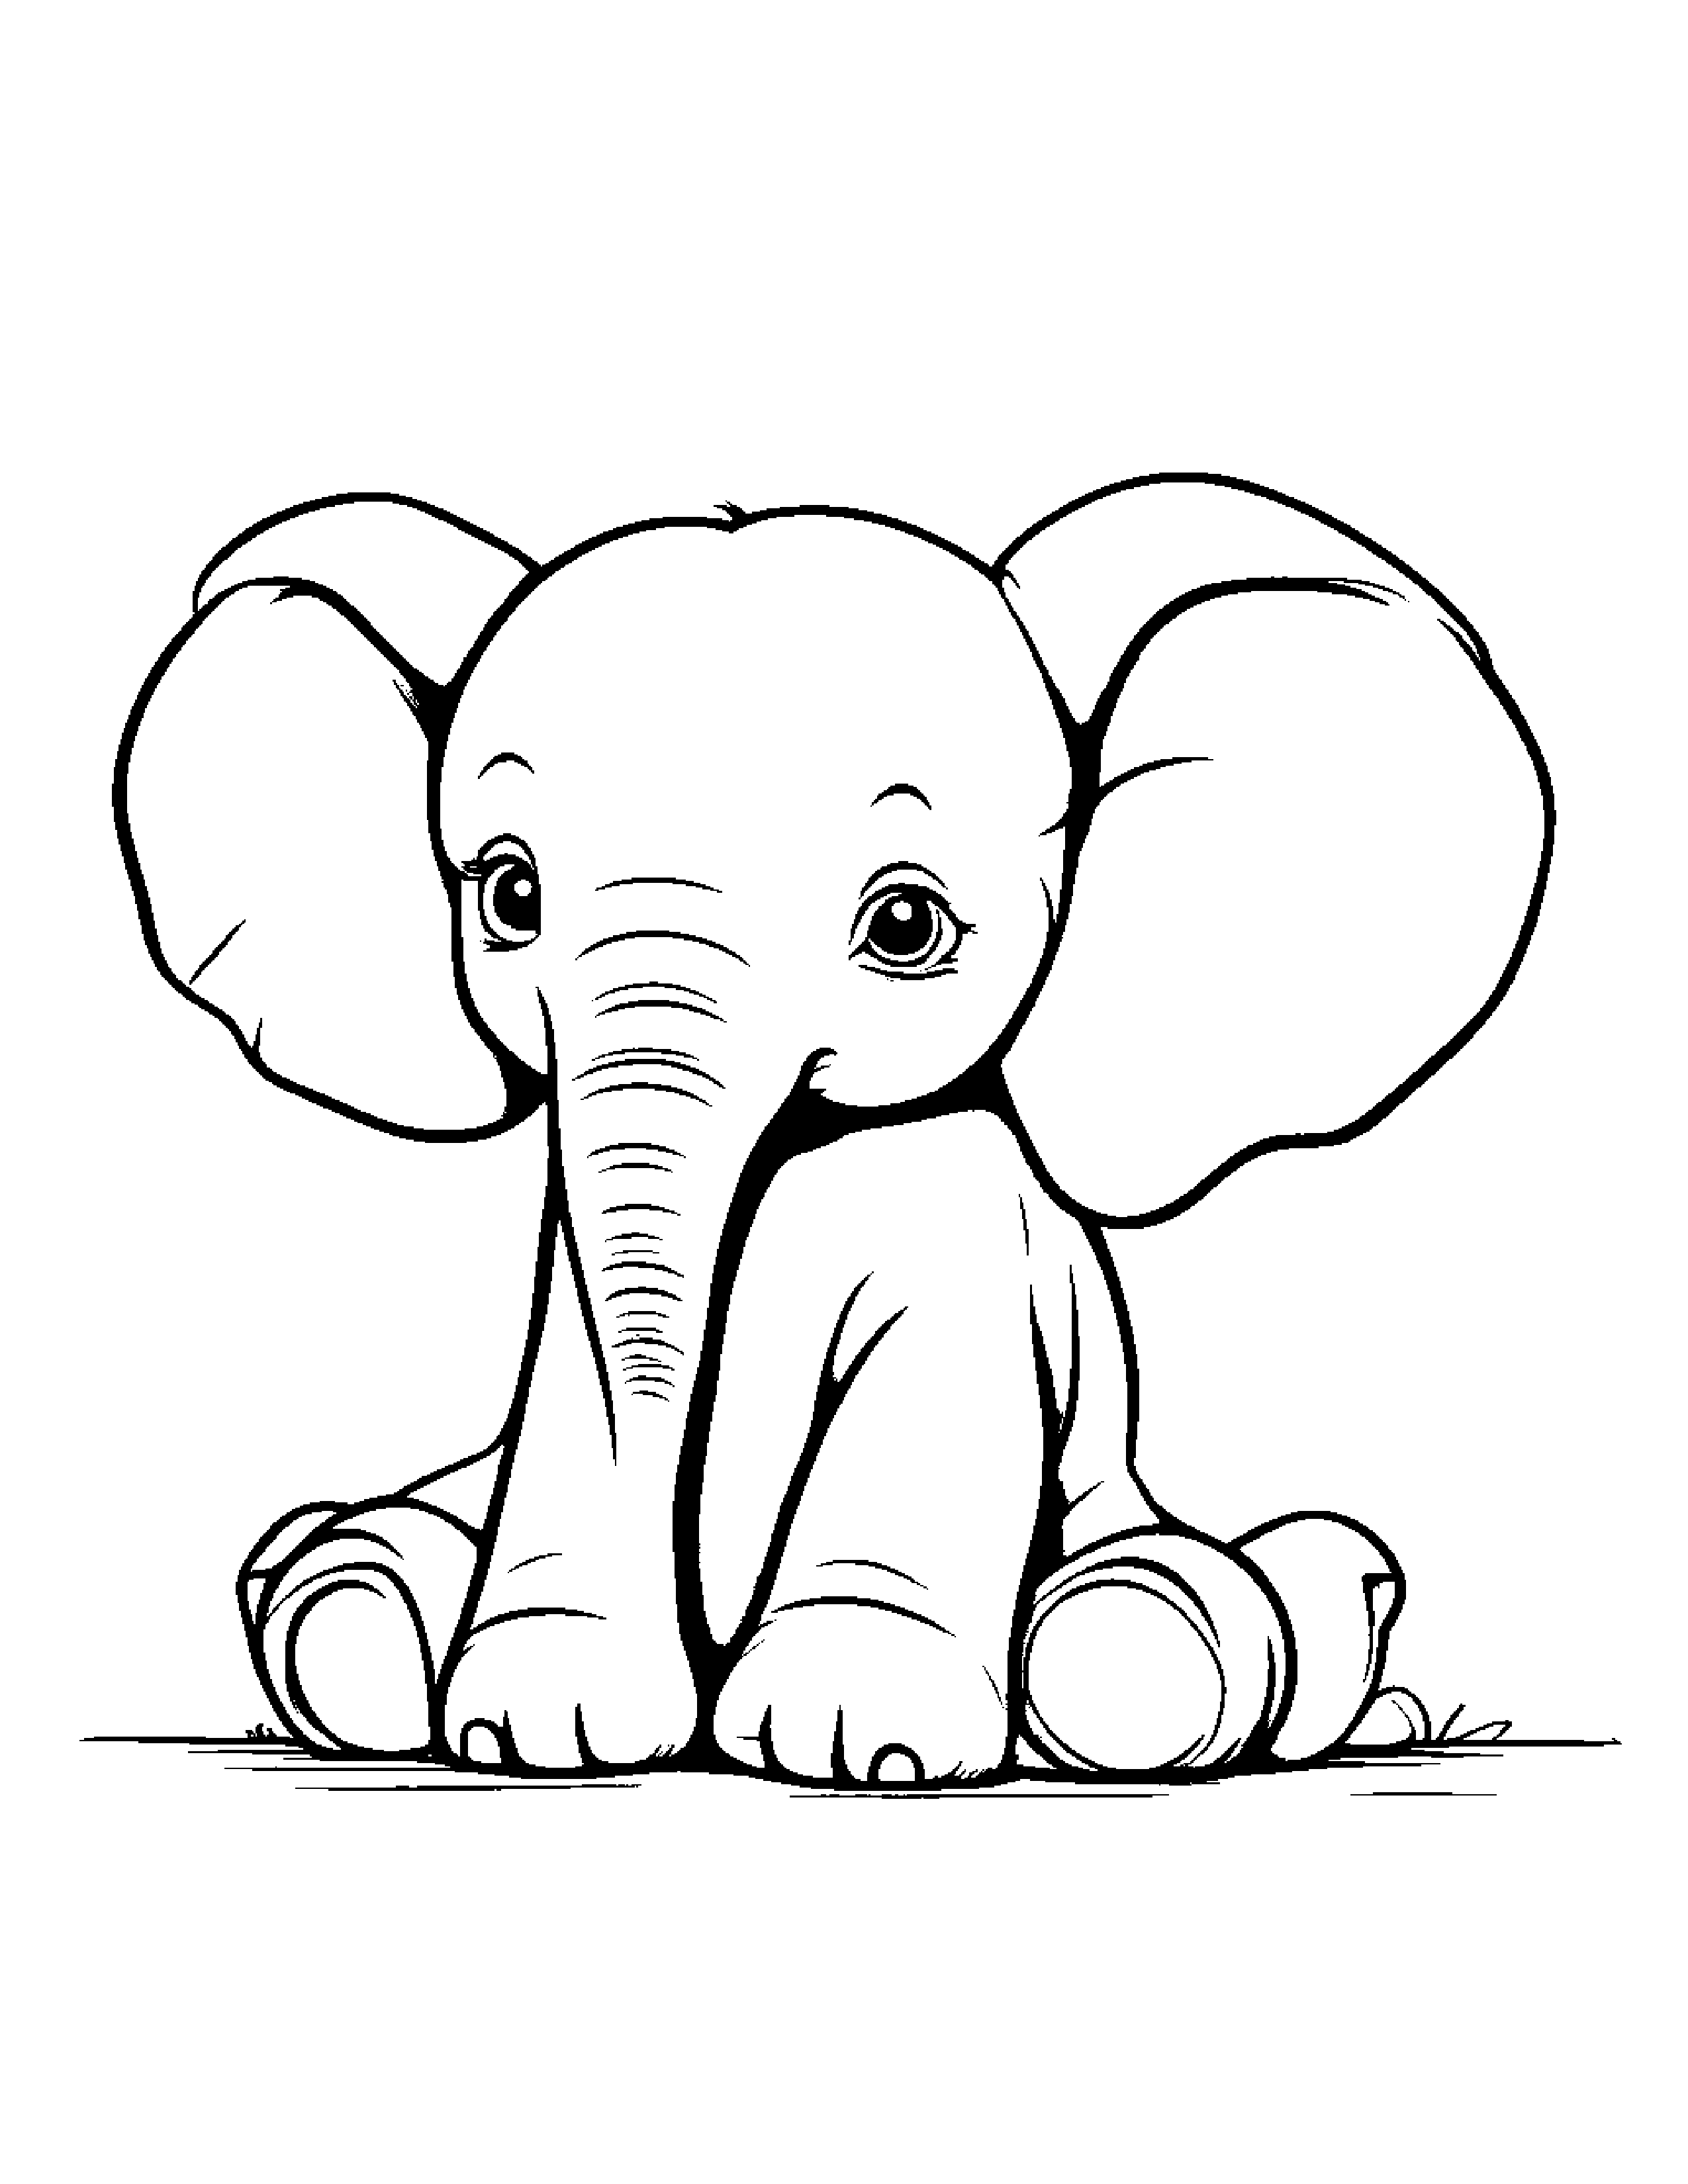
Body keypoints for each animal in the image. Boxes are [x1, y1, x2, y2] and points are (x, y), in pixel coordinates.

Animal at [115, 476, 1552, 1784]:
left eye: (905, 924)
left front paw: (861, 1744)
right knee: (341, 1575)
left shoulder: (971, 1243)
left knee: (1203, 1601)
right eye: (508, 895)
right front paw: (541, 1731)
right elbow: (578, 1401)